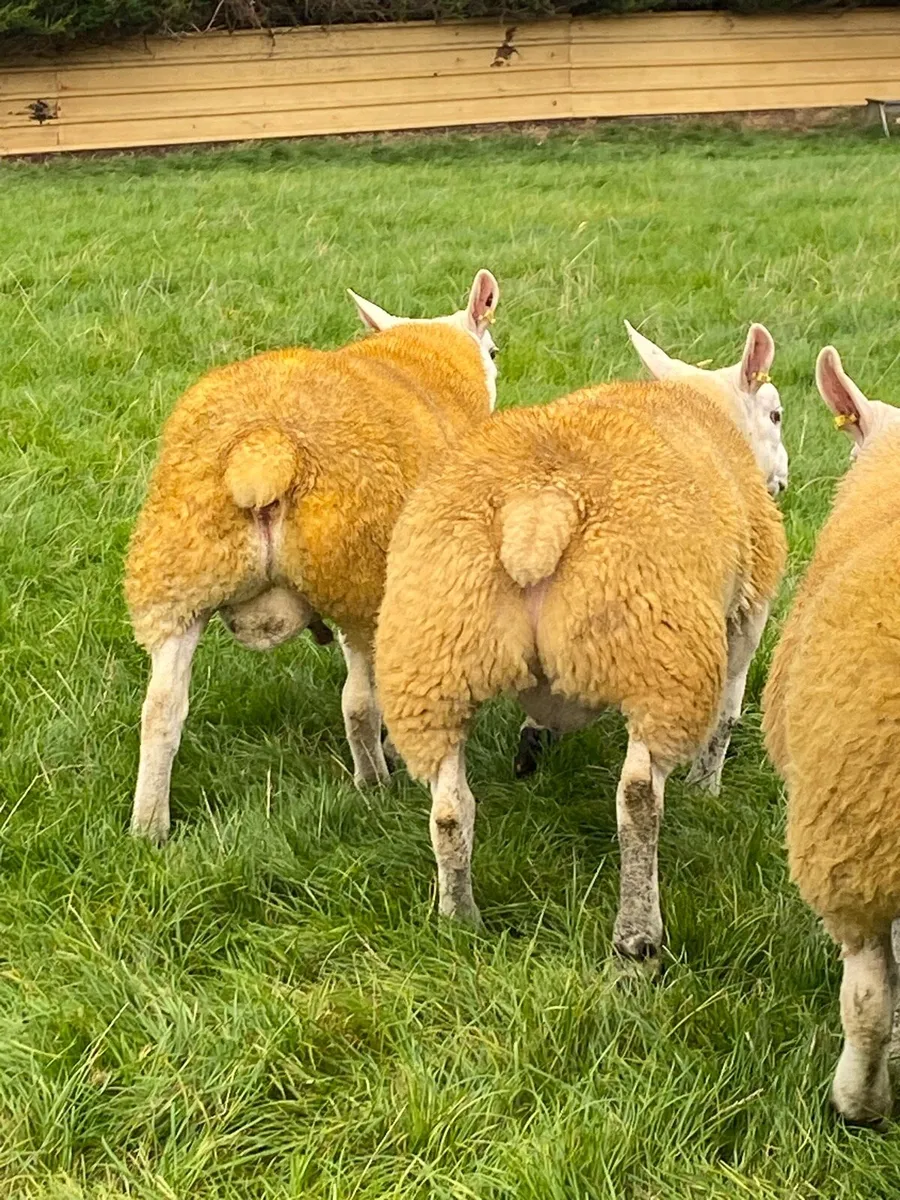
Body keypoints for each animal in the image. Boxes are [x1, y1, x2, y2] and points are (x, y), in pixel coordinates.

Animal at [125, 269, 499, 843]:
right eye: (495, 351)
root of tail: (265, 448)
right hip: (361, 577)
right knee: (359, 703)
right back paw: (374, 782)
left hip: (177, 575)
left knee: (161, 710)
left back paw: (148, 829)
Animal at [375, 322, 787, 960]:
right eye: (775, 413)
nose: (783, 479)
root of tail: (540, 507)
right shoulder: (746, 614)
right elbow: (727, 718)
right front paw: (707, 790)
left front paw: (533, 742)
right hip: (661, 658)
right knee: (639, 799)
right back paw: (638, 940)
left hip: (430, 657)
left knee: (449, 810)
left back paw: (459, 919)